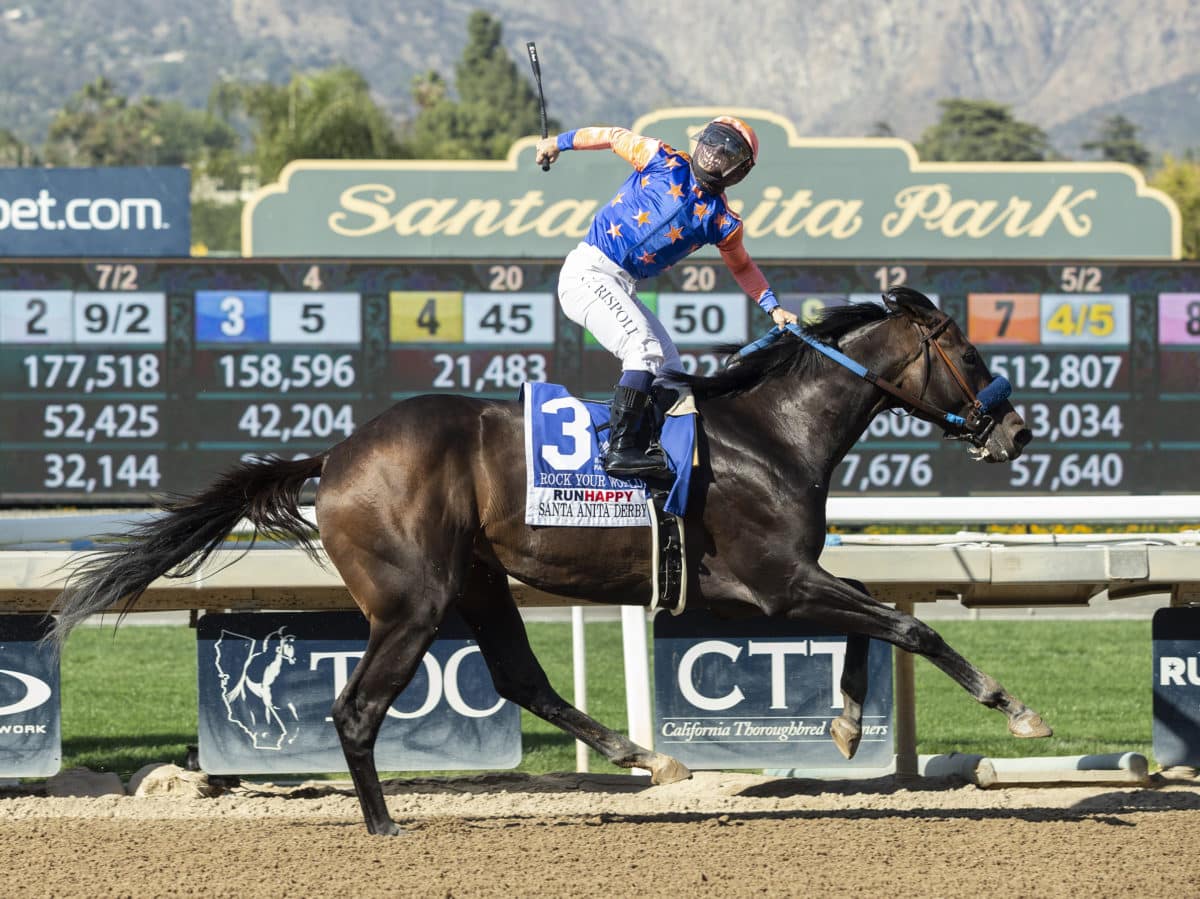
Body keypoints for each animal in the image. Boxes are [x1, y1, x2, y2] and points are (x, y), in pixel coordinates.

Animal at [54, 285, 1051, 835]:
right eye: (969, 352)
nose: (1017, 429)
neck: (772, 431)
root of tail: (336, 456)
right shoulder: (773, 583)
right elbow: (910, 625)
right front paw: (1013, 705)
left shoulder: (756, 587)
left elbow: (878, 610)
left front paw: (845, 724)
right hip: (412, 602)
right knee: (356, 708)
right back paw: (382, 822)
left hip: (479, 579)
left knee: (518, 677)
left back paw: (644, 757)